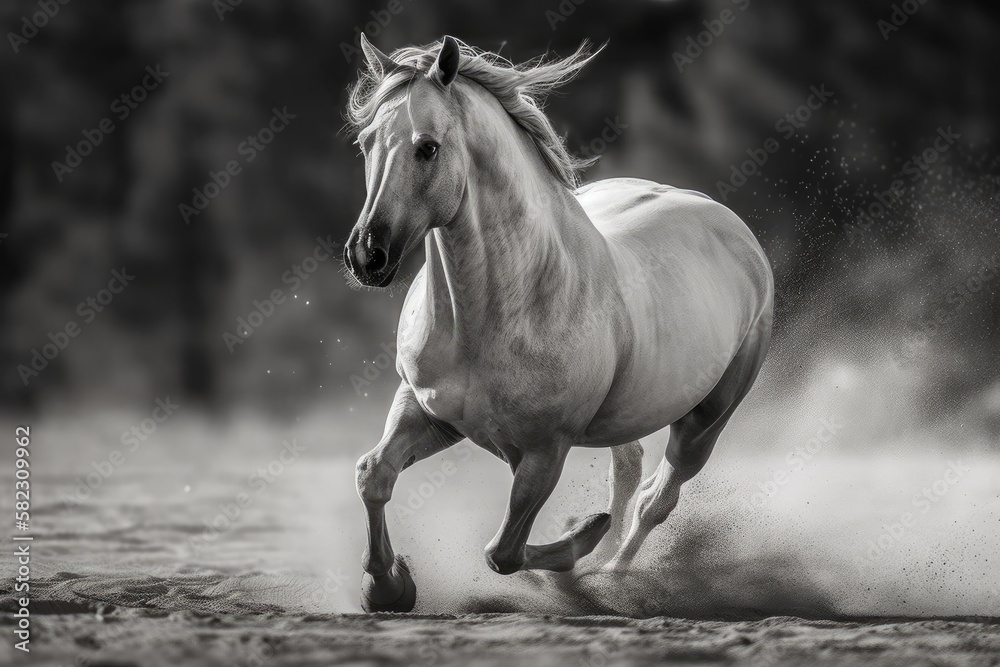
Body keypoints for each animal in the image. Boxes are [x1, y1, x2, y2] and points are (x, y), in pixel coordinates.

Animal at [343, 35, 773, 613]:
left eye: (427, 147)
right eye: (367, 141)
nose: (367, 256)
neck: (495, 315)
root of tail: (724, 219)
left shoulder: (547, 451)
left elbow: (501, 552)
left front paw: (578, 545)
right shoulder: (429, 411)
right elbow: (374, 476)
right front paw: (388, 587)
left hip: (706, 421)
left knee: (655, 500)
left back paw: (611, 577)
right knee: (629, 472)